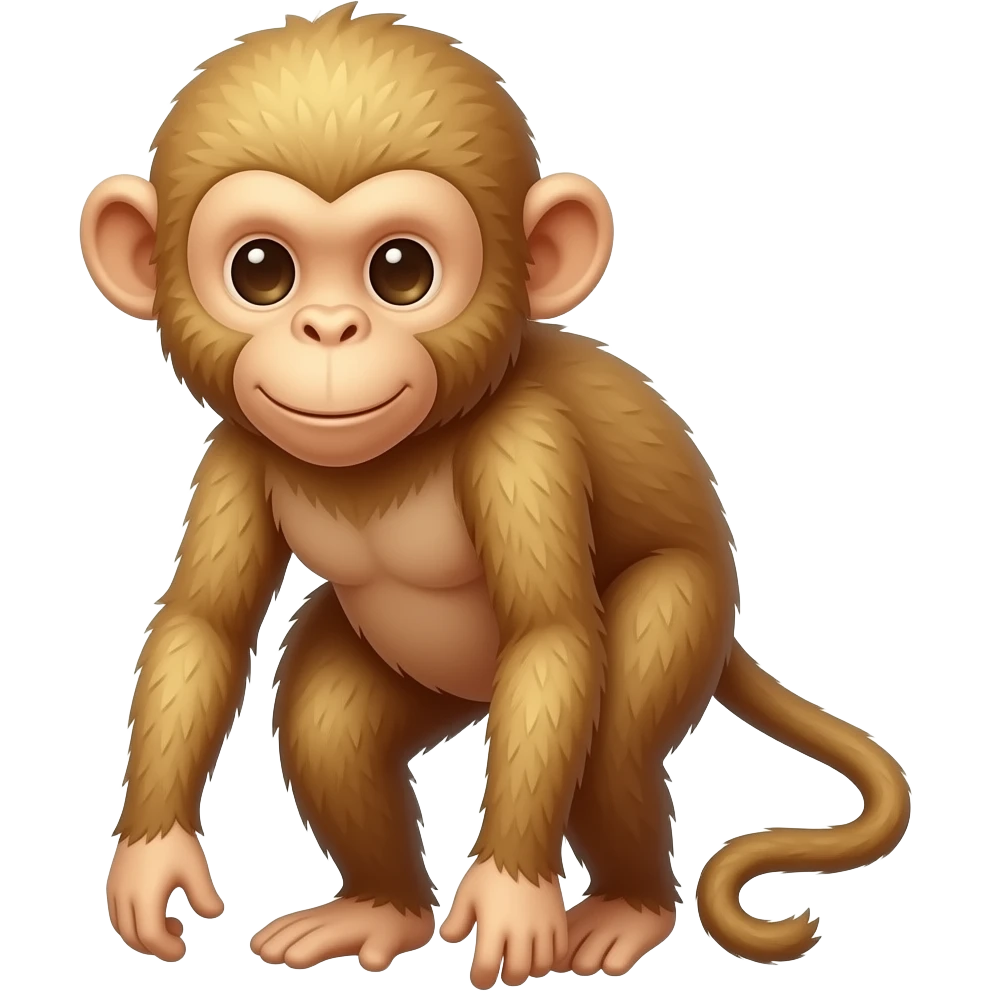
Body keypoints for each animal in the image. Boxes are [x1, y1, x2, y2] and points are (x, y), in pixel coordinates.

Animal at [80, 6, 912, 985]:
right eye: (261, 271)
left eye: (401, 271)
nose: (329, 328)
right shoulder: (235, 452)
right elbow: (202, 625)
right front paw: (149, 860)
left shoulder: (525, 448)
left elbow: (552, 634)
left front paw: (513, 894)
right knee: (328, 721)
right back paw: (380, 909)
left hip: (686, 603)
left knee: (611, 734)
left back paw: (627, 909)